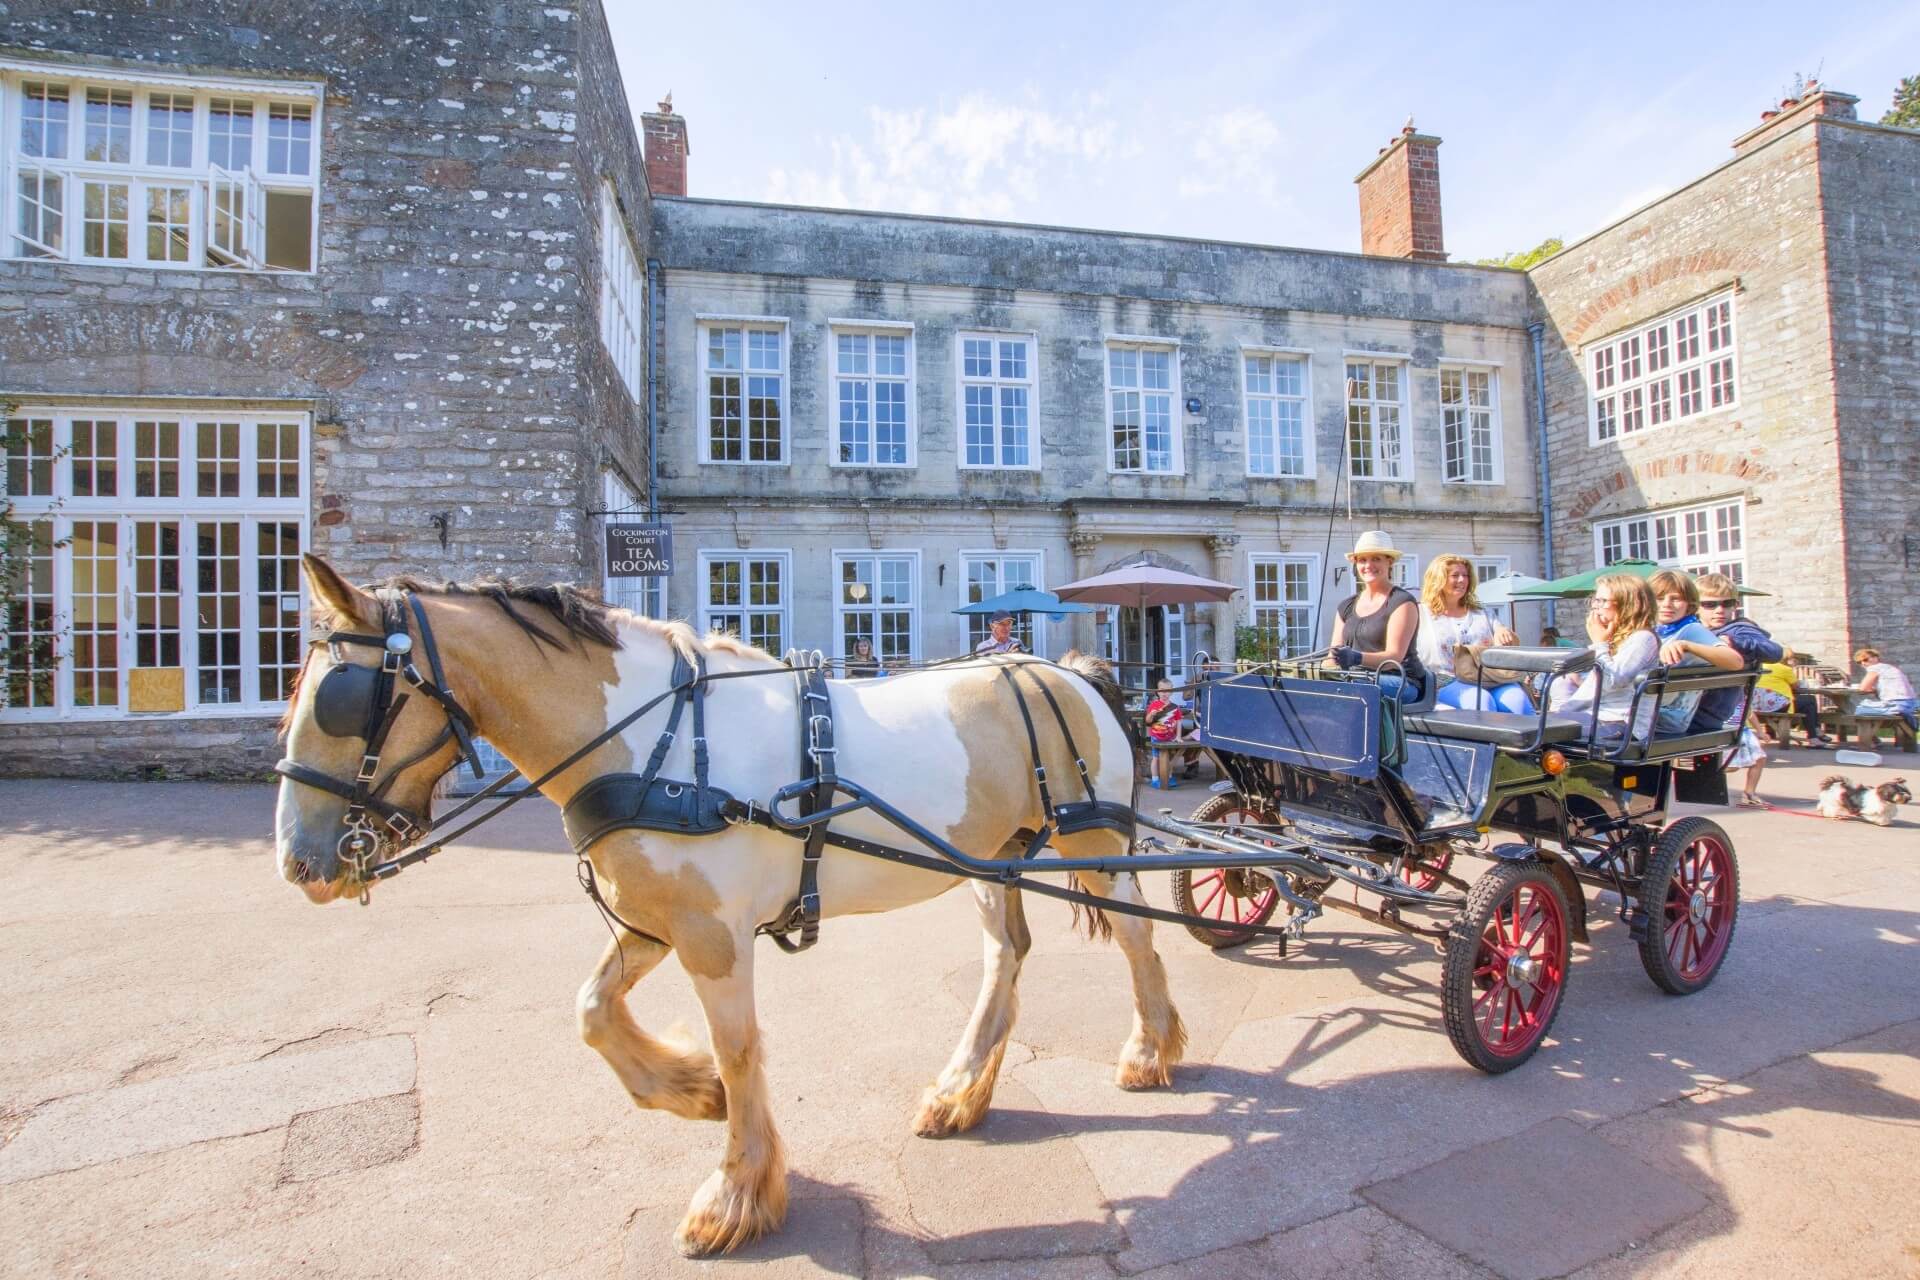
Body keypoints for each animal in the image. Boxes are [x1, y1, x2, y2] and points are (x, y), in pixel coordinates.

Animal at [274, 556, 1182, 1258]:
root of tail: (1070, 670)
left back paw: (1151, 1049)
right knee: (1005, 955)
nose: (297, 861)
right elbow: (593, 1010)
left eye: (337, 698)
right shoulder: (653, 919)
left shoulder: (713, 934)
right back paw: (960, 1090)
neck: (658, 748)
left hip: (1094, 841)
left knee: (1139, 938)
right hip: (994, 857)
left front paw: (736, 1192)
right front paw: (689, 1090)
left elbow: (740, 1047)